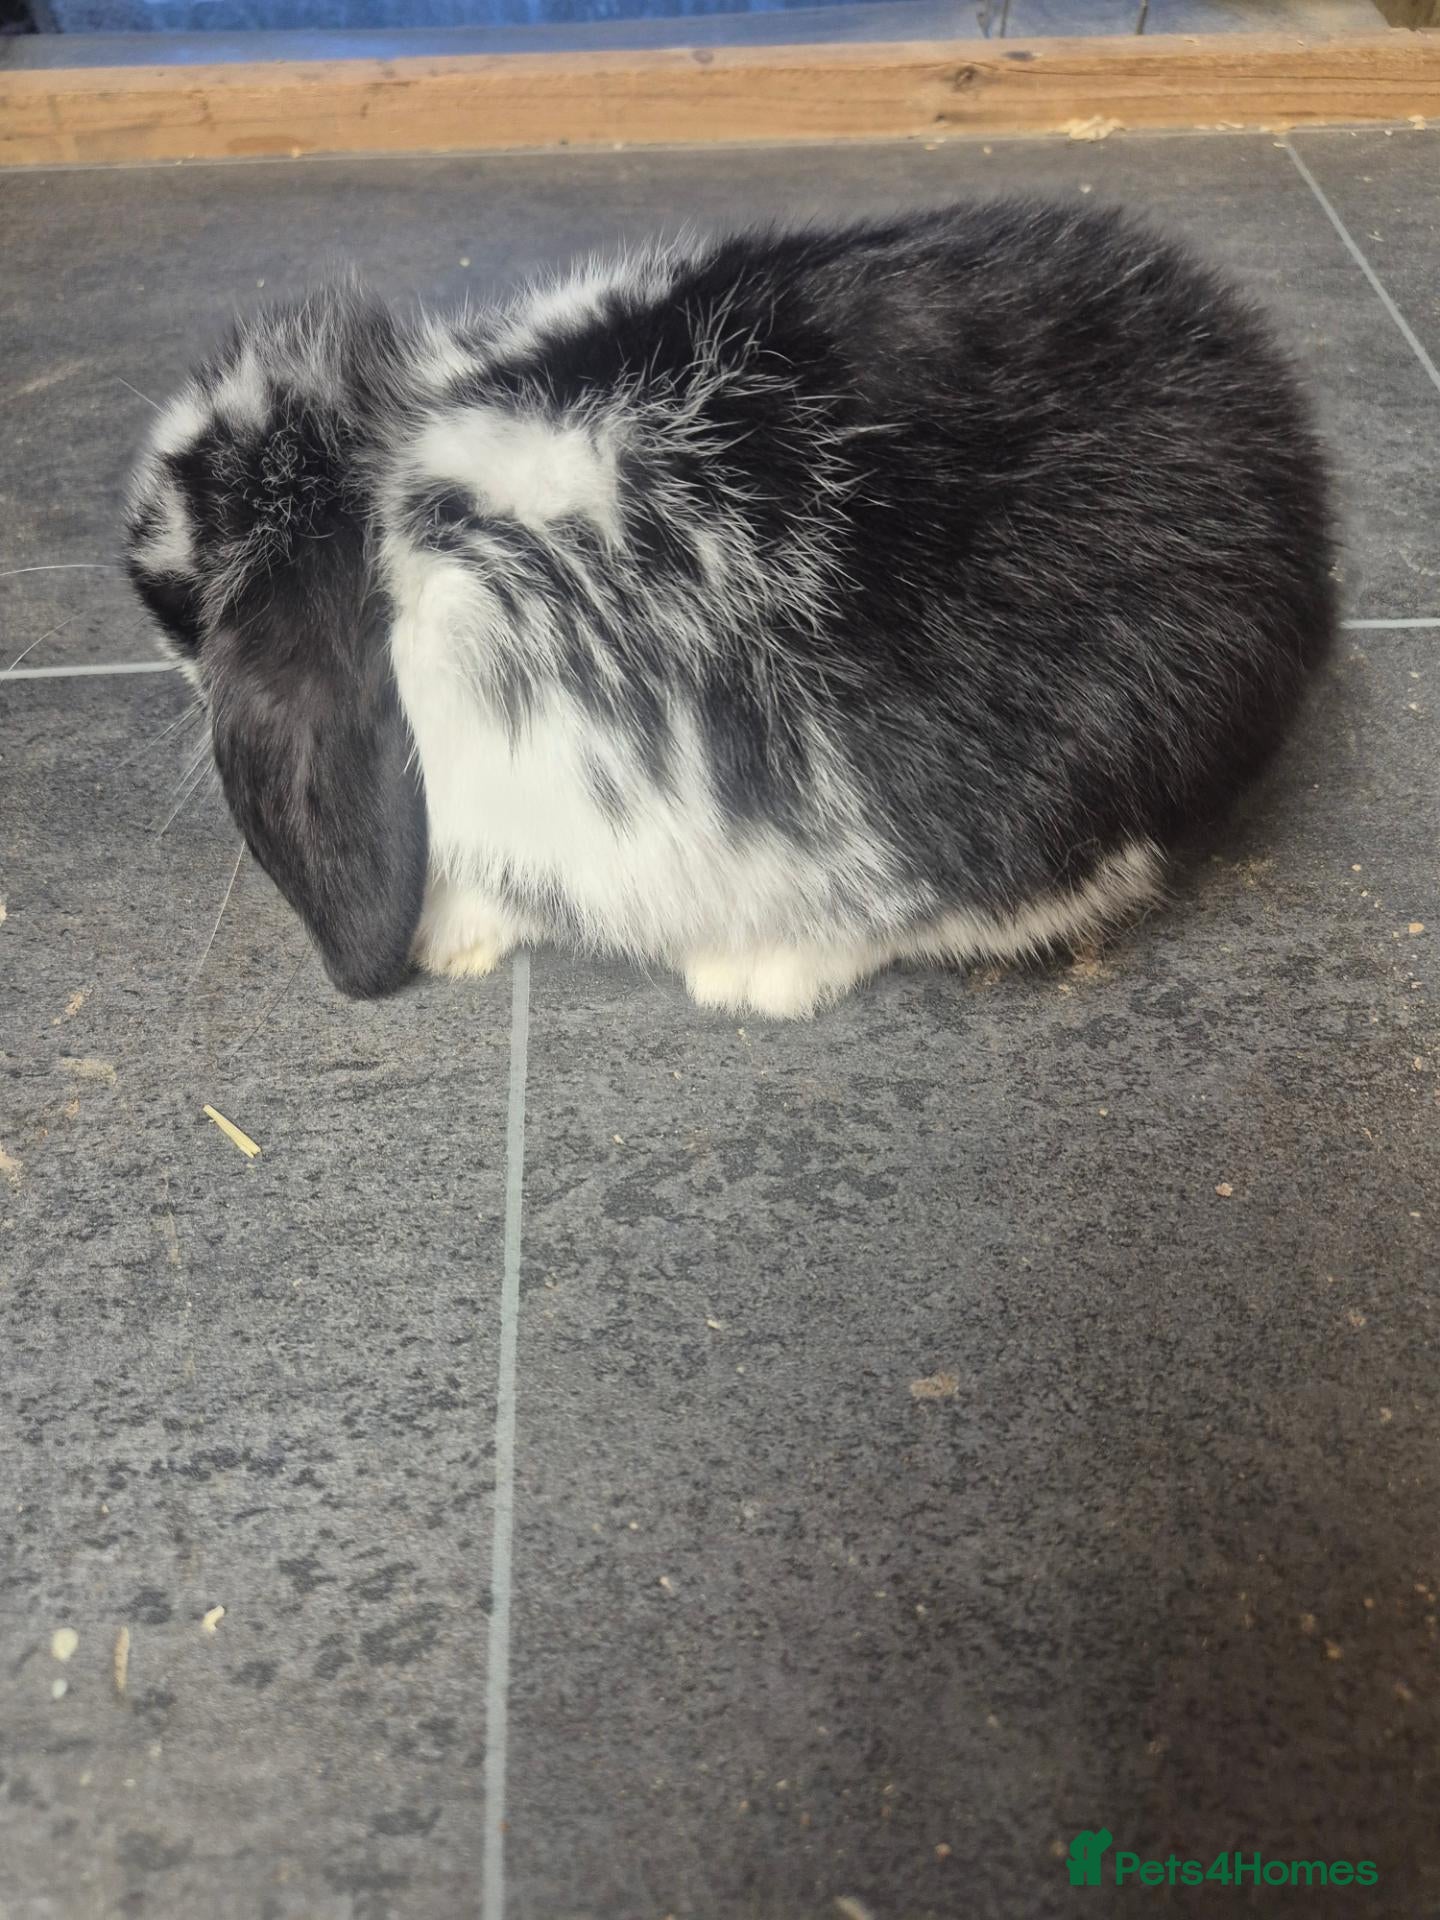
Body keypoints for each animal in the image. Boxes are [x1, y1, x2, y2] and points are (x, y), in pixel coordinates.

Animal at [126, 201, 1335, 1018]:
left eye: (185, 598)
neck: (386, 507)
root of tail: (1296, 516)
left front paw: (447, 939)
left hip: (1046, 813)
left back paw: (753, 975)